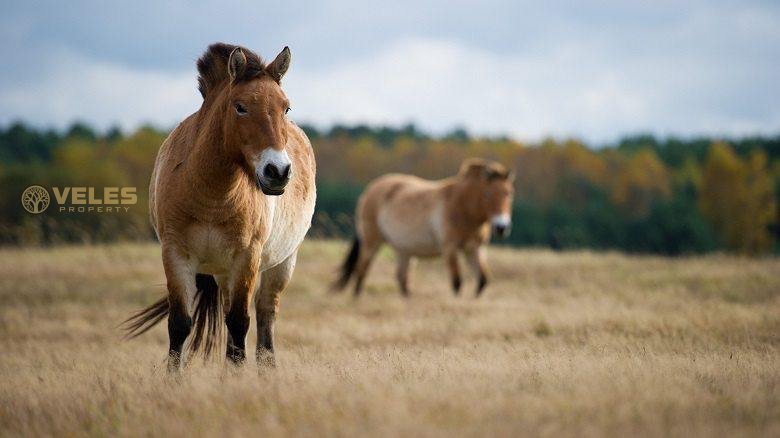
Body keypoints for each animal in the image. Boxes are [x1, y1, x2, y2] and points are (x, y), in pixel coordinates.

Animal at [122, 42, 316, 370]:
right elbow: (180, 325)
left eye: (285, 108)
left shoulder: (247, 258)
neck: (212, 196)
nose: (278, 171)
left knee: (265, 316)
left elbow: (240, 324)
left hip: (281, 264)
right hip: (224, 274)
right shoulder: (176, 255)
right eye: (240, 106)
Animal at [332, 159, 516, 300]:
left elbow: (483, 280)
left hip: (403, 250)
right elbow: (457, 282)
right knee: (362, 269)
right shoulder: (450, 248)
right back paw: (357, 298)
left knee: (402, 278)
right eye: (487, 194)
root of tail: (370, 189)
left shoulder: (474, 249)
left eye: (509, 193)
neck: (463, 207)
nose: (501, 227)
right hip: (372, 240)